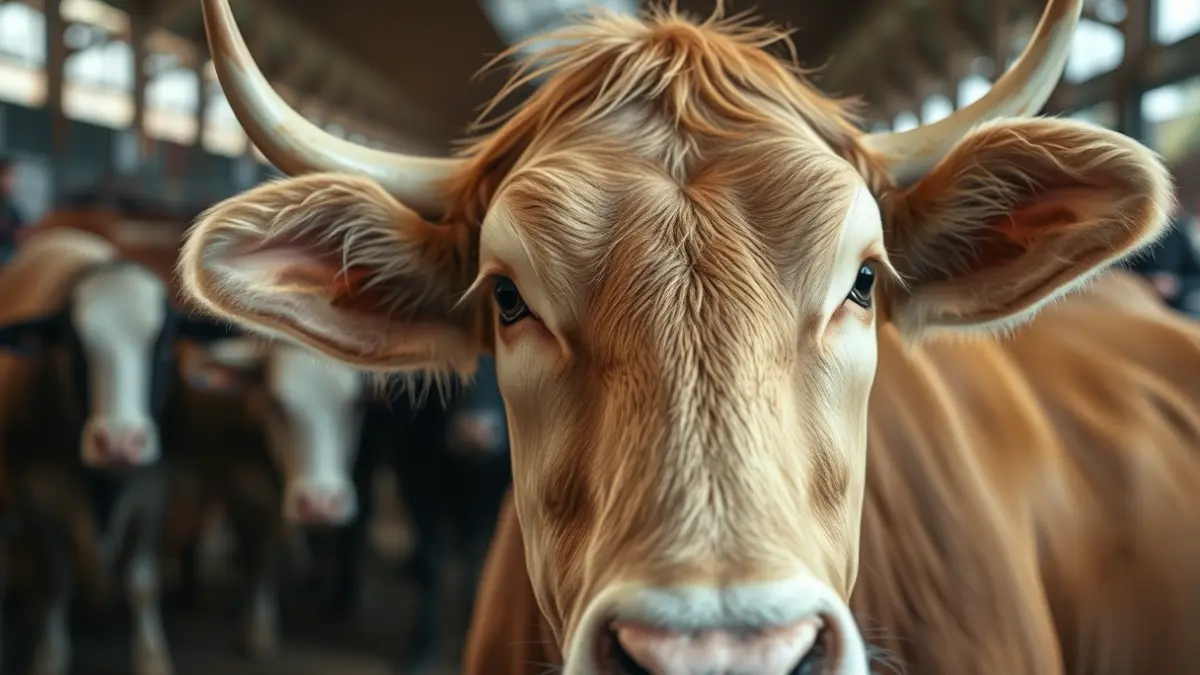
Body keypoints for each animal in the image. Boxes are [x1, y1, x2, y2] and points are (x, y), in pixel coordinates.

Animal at [0, 226, 234, 675]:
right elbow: (53, 583)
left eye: (165, 345)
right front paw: (49, 655)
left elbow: (141, 582)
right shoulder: (32, 492)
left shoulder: (155, 488)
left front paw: (151, 656)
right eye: (72, 347)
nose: (120, 442)